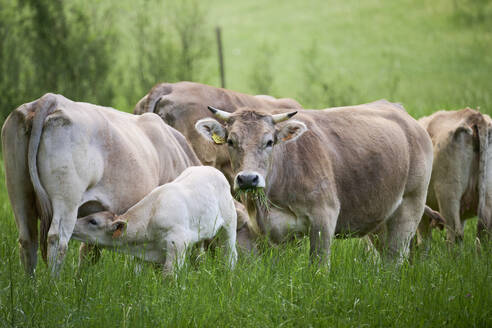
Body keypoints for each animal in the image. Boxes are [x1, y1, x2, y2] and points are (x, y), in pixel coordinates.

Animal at [0, 92, 200, 274]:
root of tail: (51, 98)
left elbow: (89, 251)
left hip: (18, 191)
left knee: (27, 240)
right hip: (66, 198)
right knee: (57, 239)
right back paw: (52, 285)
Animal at [71, 167, 238, 274]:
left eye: (93, 221)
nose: (73, 226)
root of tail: (212, 169)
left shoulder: (177, 244)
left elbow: (169, 277)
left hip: (229, 224)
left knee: (229, 254)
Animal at [196, 100, 434, 264]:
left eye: (269, 141)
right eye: (230, 141)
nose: (247, 178)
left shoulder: (324, 219)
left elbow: (319, 267)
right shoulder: (274, 234)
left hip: (410, 206)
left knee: (395, 258)